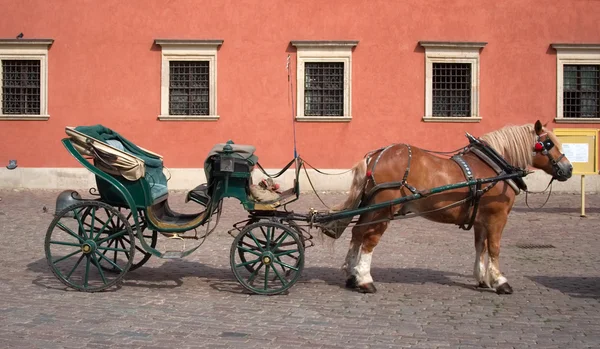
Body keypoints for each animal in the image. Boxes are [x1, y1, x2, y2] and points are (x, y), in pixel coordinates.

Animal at [324, 119, 572, 294]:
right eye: (548, 144)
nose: (568, 169)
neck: (494, 168)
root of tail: (377, 155)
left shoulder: (481, 219)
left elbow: (480, 247)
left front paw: (482, 278)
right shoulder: (497, 216)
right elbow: (494, 248)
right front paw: (500, 281)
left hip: (372, 206)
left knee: (357, 233)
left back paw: (351, 275)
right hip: (384, 208)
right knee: (369, 239)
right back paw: (365, 280)